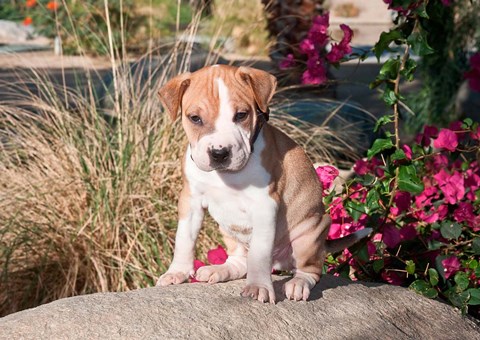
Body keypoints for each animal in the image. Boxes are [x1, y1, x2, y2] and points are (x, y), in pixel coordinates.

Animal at [156, 64, 370, 302]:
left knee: (311, 270)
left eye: (241, 115)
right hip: (229, 232)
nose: (219, 153)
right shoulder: (191, 200)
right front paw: (177, 272)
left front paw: (258, 286)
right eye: (195, 118)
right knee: (240, 261)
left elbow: (259, 253)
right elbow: (184, 238)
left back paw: (298, 284)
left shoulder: (265, 205)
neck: (226, 176)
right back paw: (220, 270)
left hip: (311, 233)